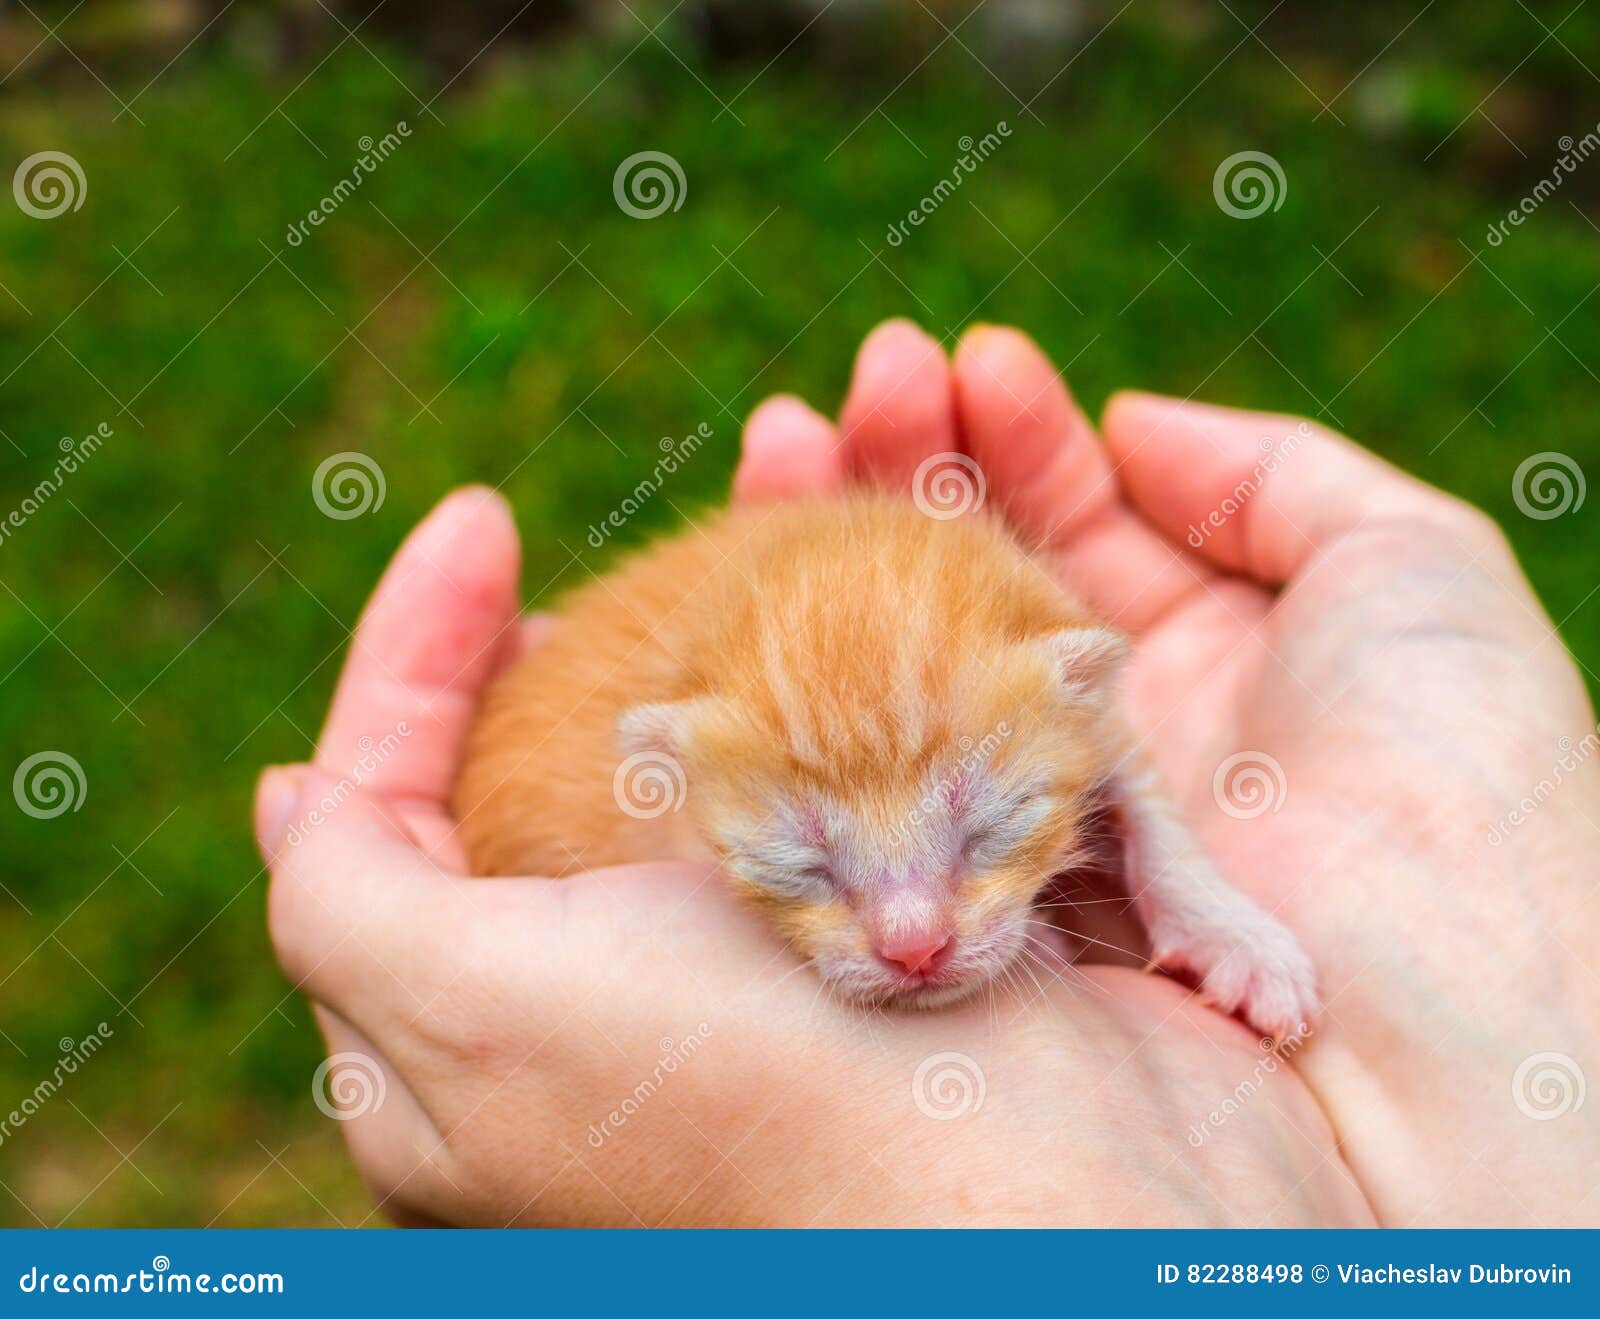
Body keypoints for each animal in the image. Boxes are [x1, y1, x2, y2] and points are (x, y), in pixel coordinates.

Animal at [451, 489, 1312, 1037]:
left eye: (990, 827)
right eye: (802, 864)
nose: (914, 950)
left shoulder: (1102, 719)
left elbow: (1155, 817)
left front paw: (1244, 944)